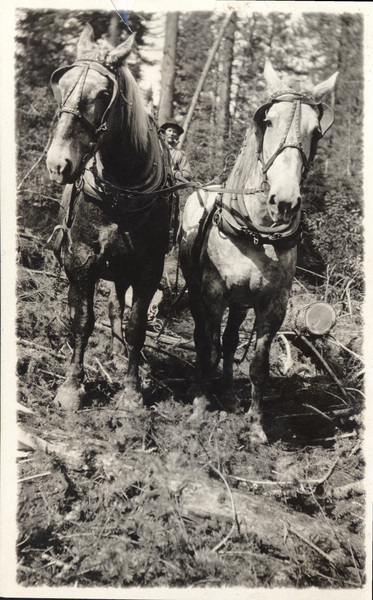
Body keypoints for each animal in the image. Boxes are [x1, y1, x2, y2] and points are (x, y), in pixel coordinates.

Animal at [45, 25, 171, 410]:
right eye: (61, 83)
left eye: (103, 93)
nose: (58, 164)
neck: (121, 191)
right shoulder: (82, 260)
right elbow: (83, 319)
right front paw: (72, 386)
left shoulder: (148, 268)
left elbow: (135, 324)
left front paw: (131, 390)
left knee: (118, 307)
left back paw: (117, 354)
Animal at [180, 59, 338, 446]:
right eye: (267, 121)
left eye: (316, 131)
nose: (284, 201)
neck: (256, 231)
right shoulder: (212, 293)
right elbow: (207, 348)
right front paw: (199, 409)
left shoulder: (274, 304)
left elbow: (258, 365)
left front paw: (254, 424)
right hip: (196, 291)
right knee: (205, 338)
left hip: (240, 303)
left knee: (231, 340)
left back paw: (228, 394)